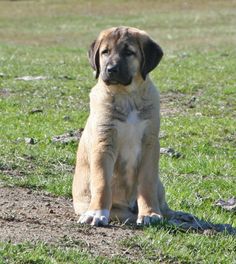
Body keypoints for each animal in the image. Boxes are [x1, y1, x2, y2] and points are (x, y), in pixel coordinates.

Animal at [72, 26, 173, 227]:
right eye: (105, 52)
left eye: (128, 52)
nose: (111, 69)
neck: (127, 96)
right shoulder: (104, 141)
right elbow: (102, 182)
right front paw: (96, 213)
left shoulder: (150, 142)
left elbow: (147, 182)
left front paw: (150, 213)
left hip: (160, 186)